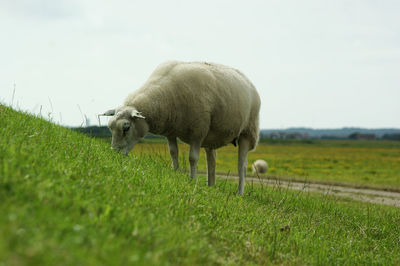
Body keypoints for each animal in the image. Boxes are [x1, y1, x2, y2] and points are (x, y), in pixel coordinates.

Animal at [101, 60, 260, 195]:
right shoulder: (171, 130)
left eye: (126, 128)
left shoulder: (198, 131)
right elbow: (173, 153)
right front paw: (175, 173)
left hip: (248, 132)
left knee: (242, 166)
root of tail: (248, 81)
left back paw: (240, 193)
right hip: (212, 134)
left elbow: (193, 158)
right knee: (212, 161)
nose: (114, 154)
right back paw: (211, 186)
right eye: (110, 128)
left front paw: (192, 180)